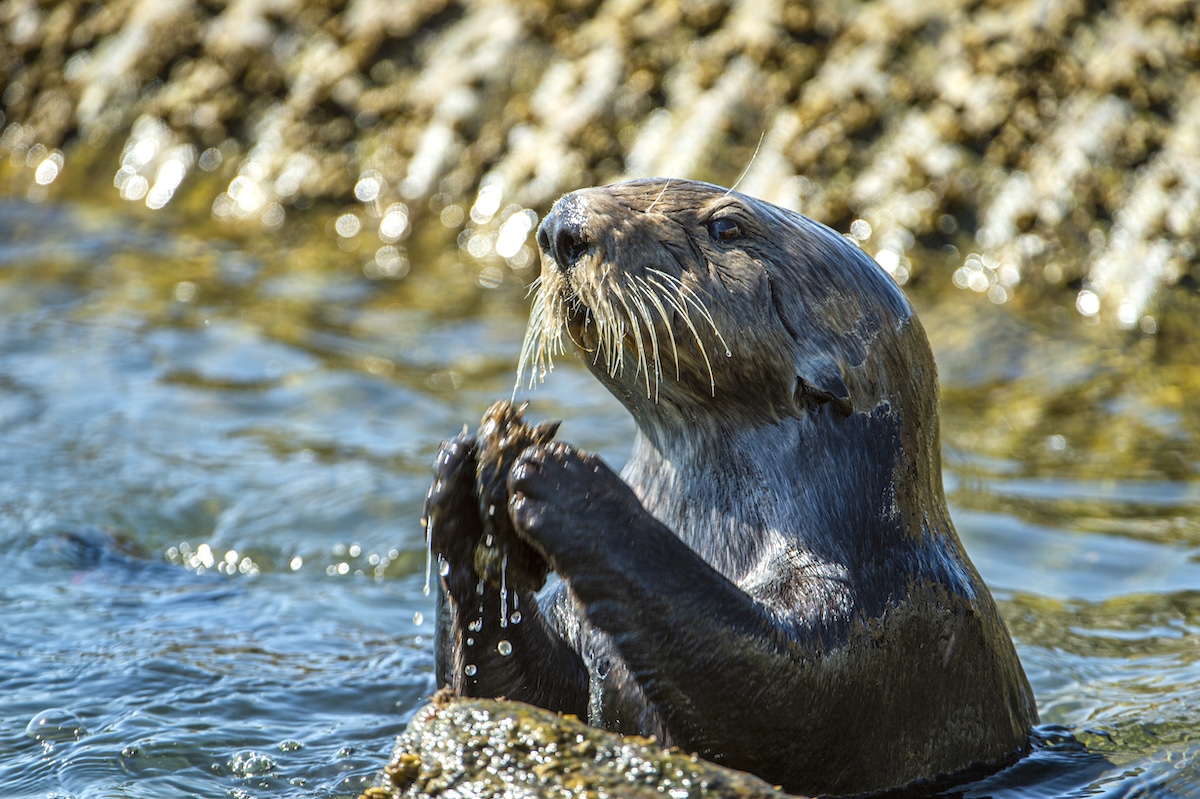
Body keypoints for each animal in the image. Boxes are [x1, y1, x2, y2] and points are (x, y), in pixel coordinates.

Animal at [424, 177, 1041, 791]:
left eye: (725, 227)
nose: (560, 227)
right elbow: (511, 693)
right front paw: (463, 494)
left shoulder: (886, 616)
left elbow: (773, 695)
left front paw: (571, 488)